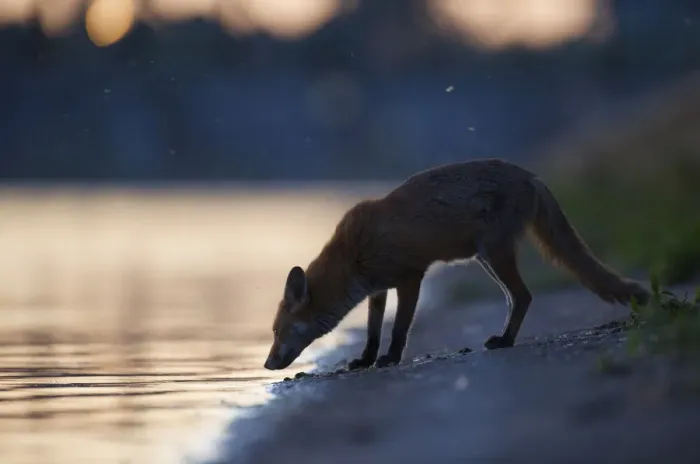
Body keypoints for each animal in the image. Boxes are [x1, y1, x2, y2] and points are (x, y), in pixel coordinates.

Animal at [263, 158, 650, 371]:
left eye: (278, 332)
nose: (266, 364)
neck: (352, 251)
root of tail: (531, 175)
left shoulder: (410, 277)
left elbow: (399, 328)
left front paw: (391, 358)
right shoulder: (378, 289)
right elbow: (373, 332)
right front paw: (366, 359)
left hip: (494, 254)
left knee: (523, 296)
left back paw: (505, 340)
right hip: (486, 258)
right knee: (519, 298)